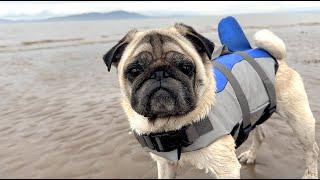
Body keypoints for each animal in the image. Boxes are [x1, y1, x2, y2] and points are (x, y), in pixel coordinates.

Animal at [102, 22, 318, 179]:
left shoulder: (226, 169)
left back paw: (310, 174)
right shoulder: (165, 165)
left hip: (300, 121)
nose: (159, 73)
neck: (171, 126)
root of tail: (268, 54)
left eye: (186, 68)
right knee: (260, 135)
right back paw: (251, 155)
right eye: (134, 71)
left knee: (312, 150)